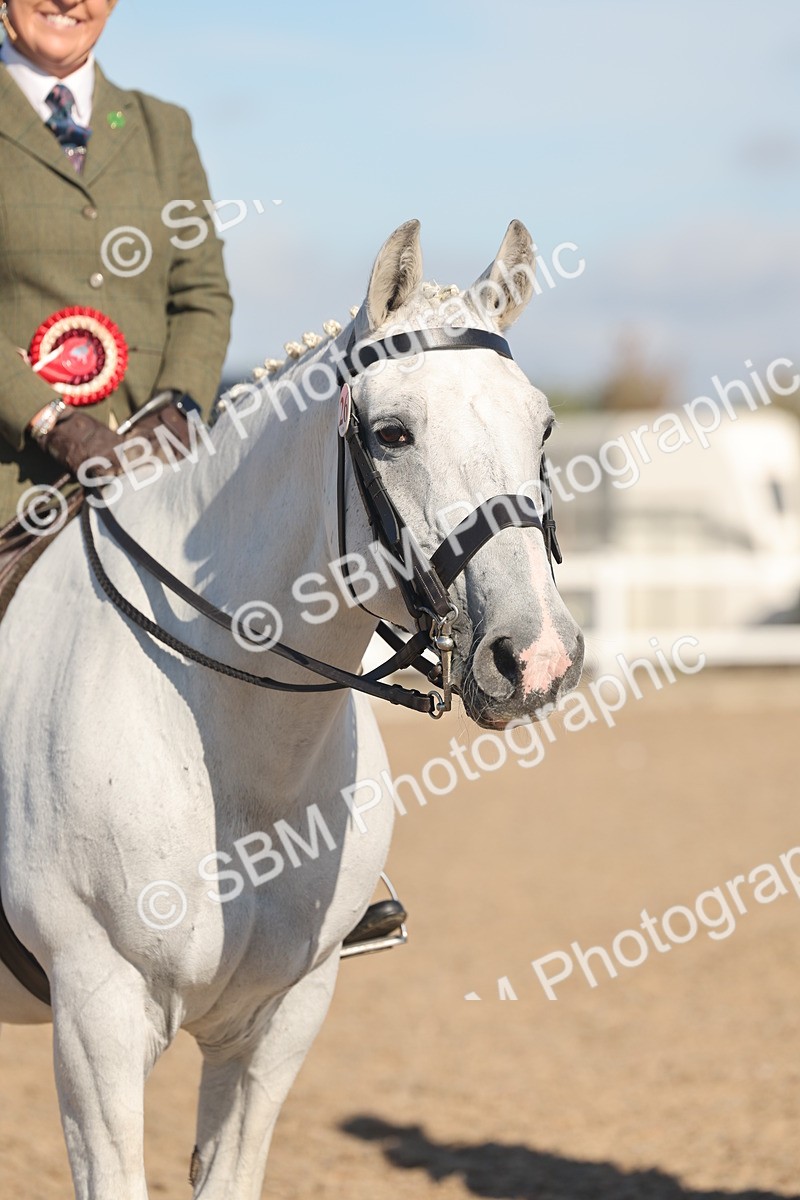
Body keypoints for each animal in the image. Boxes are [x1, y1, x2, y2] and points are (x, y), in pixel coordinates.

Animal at [0, 219, 583, 1199]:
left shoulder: (280, 1020)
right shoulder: (96, 1022)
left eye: (540, 424)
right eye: (392, 433)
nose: (534, 657)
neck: (237, 760)